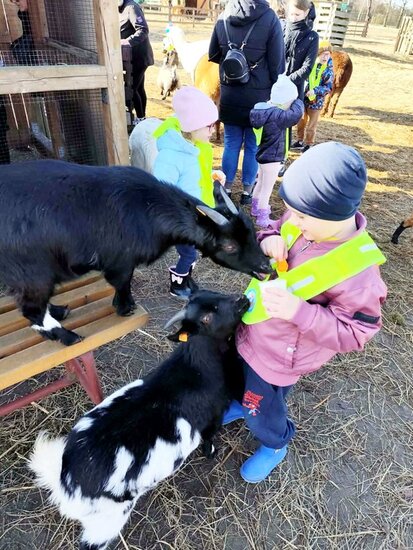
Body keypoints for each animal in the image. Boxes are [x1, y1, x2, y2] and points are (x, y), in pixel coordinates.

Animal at [0, 160, 271, 346]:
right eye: (229, 246)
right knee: (32, 309)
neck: (148, 207)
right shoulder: (120, 261)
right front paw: (125, 308)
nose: (266, 267)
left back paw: (59, 310)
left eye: (251, 231)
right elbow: (122, 282)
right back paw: (67, 335)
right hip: (33, 272)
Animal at [29, 289, 250, 550]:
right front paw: (211, 453)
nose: (242, 300)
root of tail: (66, 484)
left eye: (213, 293)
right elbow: (209, 436)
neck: (197, 367)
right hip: (106, 521)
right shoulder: (214, 415)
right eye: (206, 318)